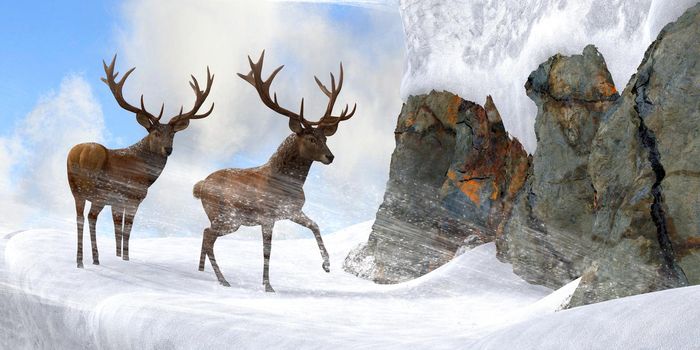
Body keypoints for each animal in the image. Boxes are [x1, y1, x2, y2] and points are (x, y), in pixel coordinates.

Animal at [69, 54, 216, 268]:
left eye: (173, 134)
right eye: (155, 133)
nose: (168, 149)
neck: (146, 176)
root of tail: (80, 153)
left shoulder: (117, 202)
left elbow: (117, 228)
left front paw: (118, 256)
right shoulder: (133, 196)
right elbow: (127, 229)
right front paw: (126, 258)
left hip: (77, 191)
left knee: (80, 216)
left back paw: (83, 260)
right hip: (99, 193)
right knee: (90, 216)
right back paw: (91, 259)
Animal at [193, 51, 352, 292]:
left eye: (325, 138)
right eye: (311, 138)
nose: (330, 157)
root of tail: (200, 186)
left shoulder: (292, 211)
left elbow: (315, 225)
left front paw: (326, 265)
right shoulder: (267, 216)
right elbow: (267, 251)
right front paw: (268, 286)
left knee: (205, 234)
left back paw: (203, 272)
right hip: (228, 217)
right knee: (208, 235)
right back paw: (222, 279)